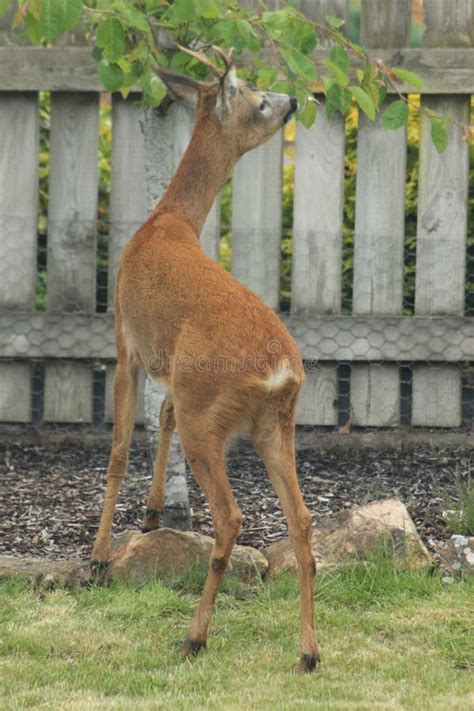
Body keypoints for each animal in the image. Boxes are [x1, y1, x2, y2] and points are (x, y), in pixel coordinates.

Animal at [90, 46, 318, 672]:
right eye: (260, 100)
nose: (295, 100)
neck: (166, 220)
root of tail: (281, 371)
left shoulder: (126, 338)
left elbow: (118, 446)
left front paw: (98, 557)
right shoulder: (172, 369)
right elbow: (160, 419)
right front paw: (149, 515)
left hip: (209, 414)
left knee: (231, 517)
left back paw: (195, 635)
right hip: (275, 422)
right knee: (302, 519)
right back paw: (309, 652)